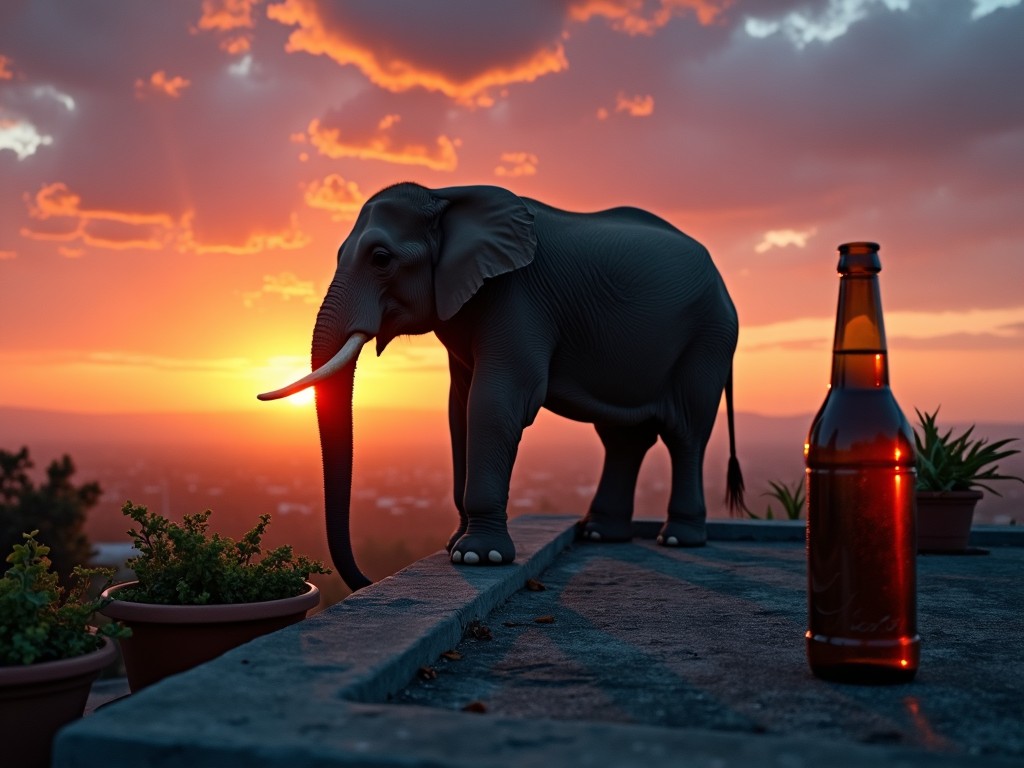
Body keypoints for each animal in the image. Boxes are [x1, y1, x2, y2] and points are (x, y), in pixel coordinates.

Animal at [260, 183, 745, 593]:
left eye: (381, 258)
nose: (365, 580)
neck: (445, 196)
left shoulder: (518, 297)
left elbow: (495, 403)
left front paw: (478, 557)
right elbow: (458, 410)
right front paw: (454, 545)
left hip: (708, 338)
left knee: (685, 431)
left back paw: (678, 539)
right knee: (623, 437)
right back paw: (600, 533)